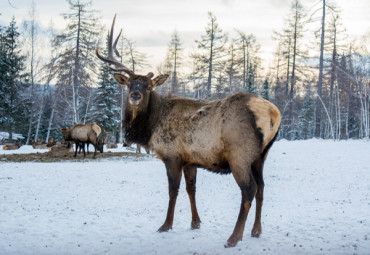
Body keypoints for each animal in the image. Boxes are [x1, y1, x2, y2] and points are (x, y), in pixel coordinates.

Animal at [95, 15, 280, 247]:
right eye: (130, 84)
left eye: (148, 86)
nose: (135, 96)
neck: (150, 126)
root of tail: (273, 114)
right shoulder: (190, 159)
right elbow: (191, 189)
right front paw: (195, 222)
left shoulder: (171, 154)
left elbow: (173, 190)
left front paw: (166, 225)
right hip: (260, 156)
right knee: (262, 188)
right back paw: (256, 231)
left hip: (240, 154)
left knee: (249, 189)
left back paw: (234, 237)